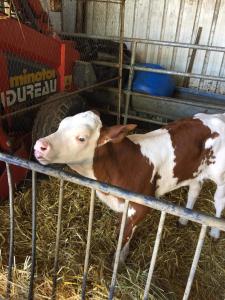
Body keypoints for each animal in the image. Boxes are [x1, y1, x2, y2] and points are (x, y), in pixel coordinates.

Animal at [33, 110, 225, 262]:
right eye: (60, 126)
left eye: (82, 138)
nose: (39, 145)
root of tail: (218, 116)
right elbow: (126, 230)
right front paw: (123, 254)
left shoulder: (140, 207)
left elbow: (124, 234)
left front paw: (117, 260)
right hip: (195, 172)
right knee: (194, 191)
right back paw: (184, 219)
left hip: (221, 176)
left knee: (219, 201)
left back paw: (215, 232)